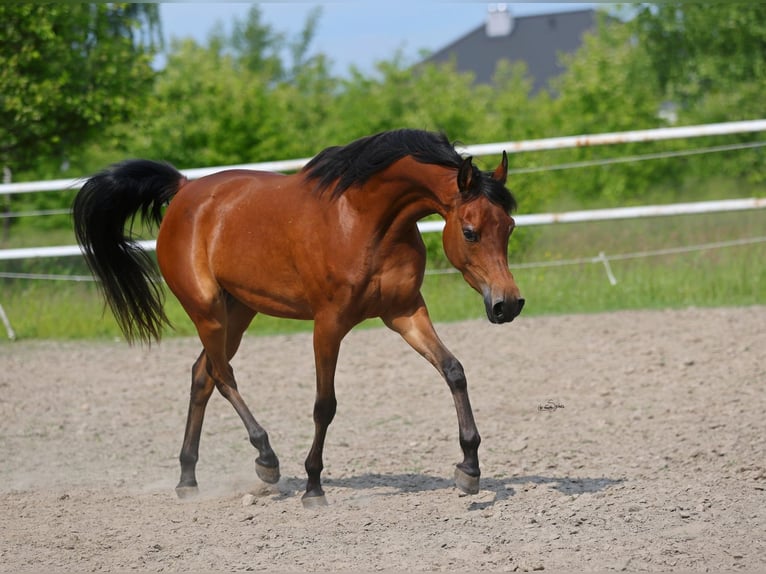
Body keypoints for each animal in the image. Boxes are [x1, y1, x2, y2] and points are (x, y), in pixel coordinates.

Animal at [72, 129, 525, 507]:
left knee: (202, 375)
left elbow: (454, 370)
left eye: (509, 226)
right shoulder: (328, 325)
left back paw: (188, 480)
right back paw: (266, 459)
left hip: (239, 310)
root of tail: (184, 190)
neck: (365, 223)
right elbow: (325, 405)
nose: (508, 305)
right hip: (207, 310)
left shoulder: (404, 312)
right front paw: (313, 487)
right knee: (221, 374)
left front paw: (469, 469)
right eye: (469, 232)